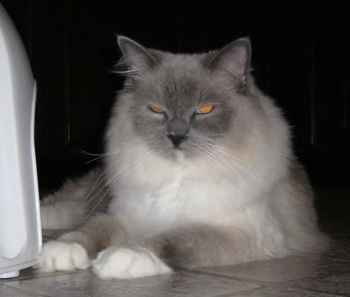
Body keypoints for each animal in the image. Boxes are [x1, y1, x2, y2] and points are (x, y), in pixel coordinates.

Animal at [38, 34, 328, 278]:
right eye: (157, 110)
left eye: (205, 110)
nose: (176, 137)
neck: (178, 176)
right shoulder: (123, 216)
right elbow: (89, 231)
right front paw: (61, 253)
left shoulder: (237, 234)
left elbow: (171, 240)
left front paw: (122, 257)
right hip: (79, 203)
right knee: (55, 210)